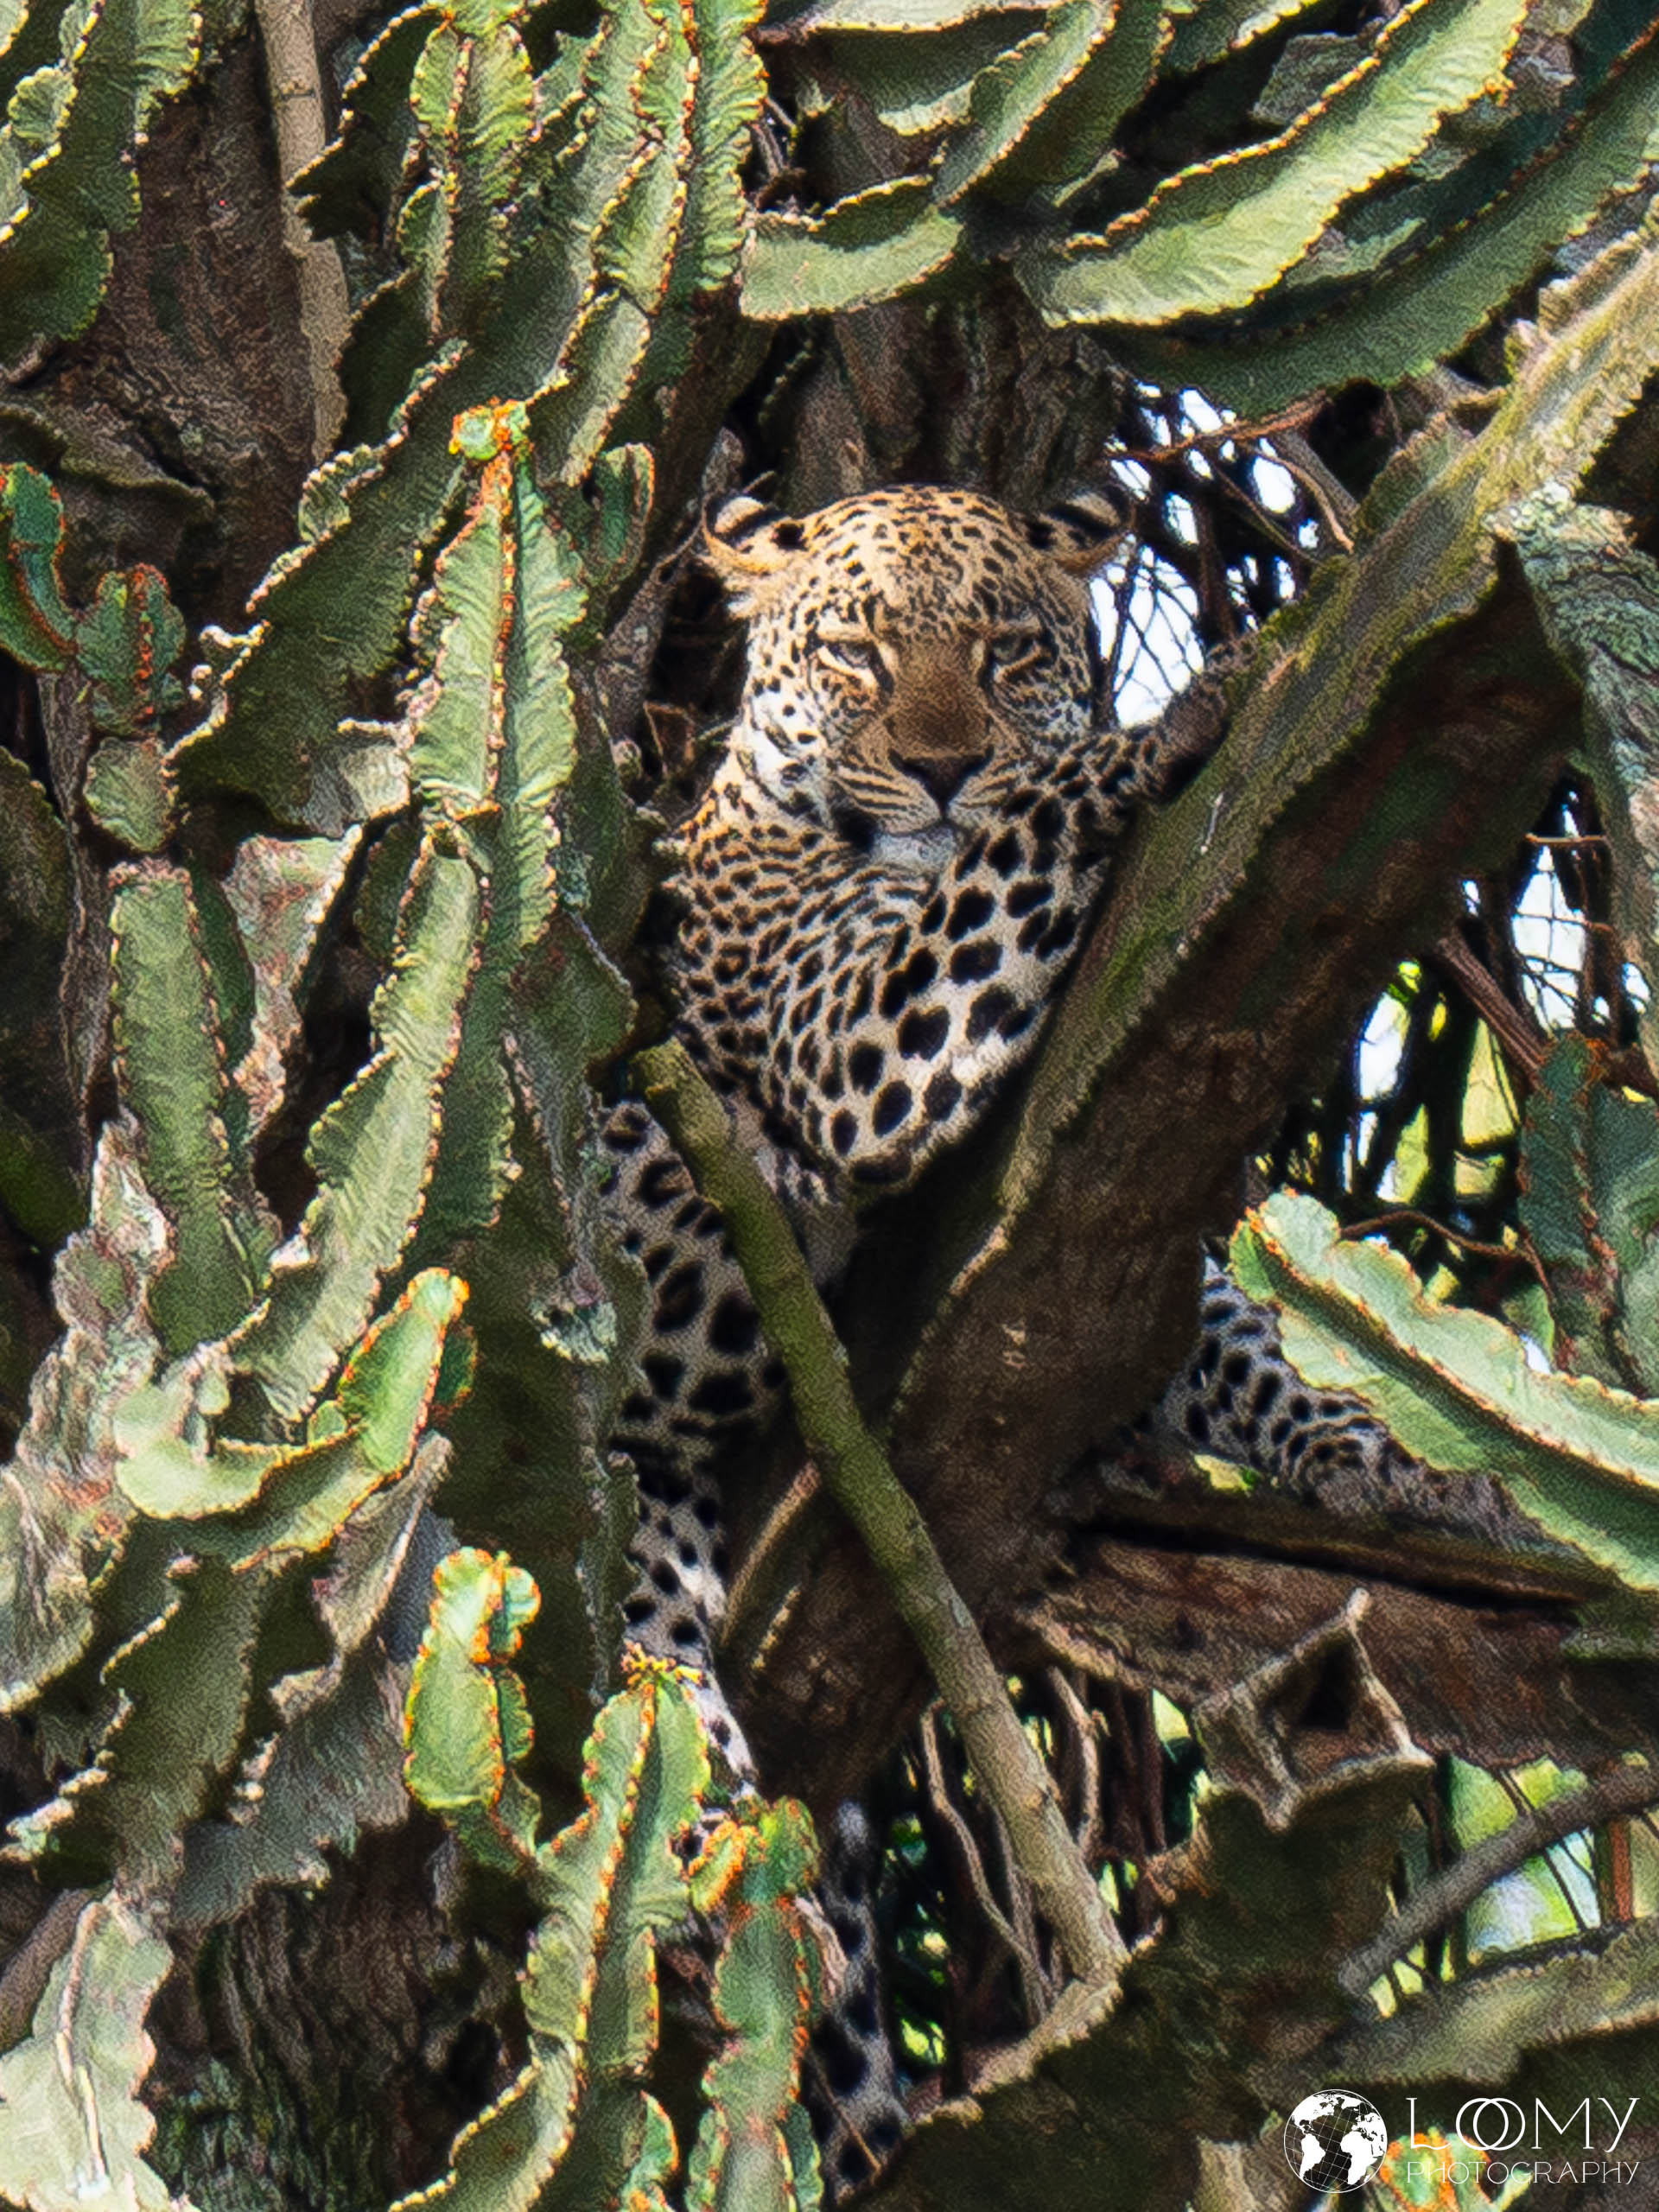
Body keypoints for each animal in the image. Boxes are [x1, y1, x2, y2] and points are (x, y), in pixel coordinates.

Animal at [600, 483, 1416, 2197]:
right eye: (855, 656)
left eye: (1011, 652)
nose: (940, 767)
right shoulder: (862, 1036)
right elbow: (1011, 851)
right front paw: (1167, 724)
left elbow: (1230, 1337)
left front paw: (1397, 1469)